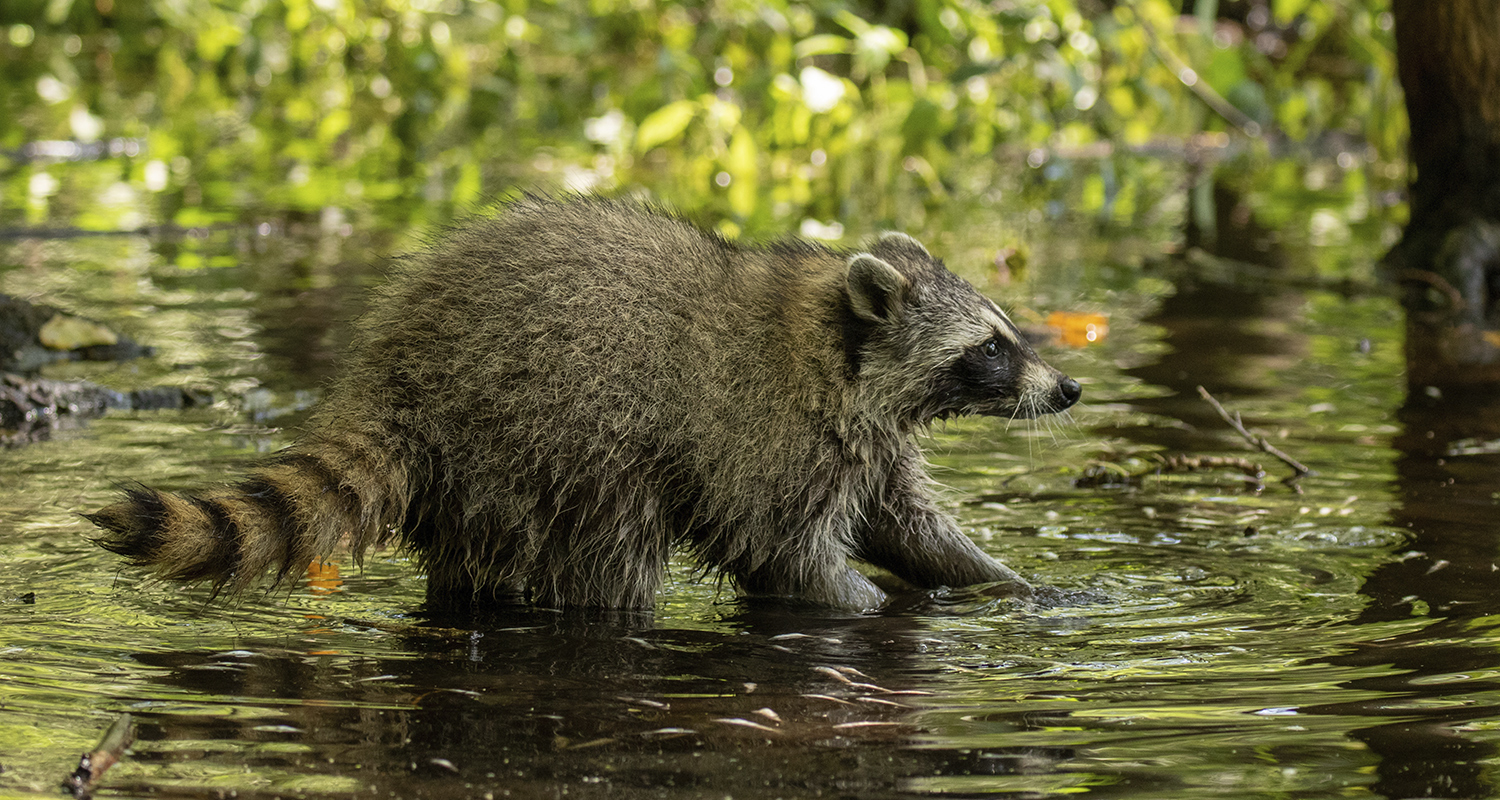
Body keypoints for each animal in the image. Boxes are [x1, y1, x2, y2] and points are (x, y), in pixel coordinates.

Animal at [88, 196, 1081, 611]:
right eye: (991, 349)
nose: (1068, 387)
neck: (832, 347)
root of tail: (394, 375)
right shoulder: (770, 436)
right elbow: (784, 555)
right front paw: (866, 605)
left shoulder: (864, 440)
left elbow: (906, 526)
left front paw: (1000, 583)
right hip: (547, 436)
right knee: (612, 556)